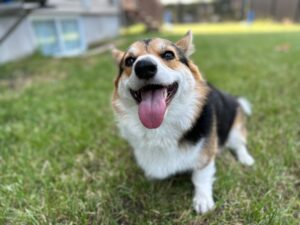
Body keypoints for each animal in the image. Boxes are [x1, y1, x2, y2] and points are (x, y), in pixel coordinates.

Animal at [111, 31, 254, 213]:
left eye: (168, 55)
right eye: (129, 61)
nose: (143, 67)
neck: (161, 127)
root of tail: (234, 99)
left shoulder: (205, 156)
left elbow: (201, 177)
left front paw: (203, 201)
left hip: (235, 129)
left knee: (239, 145)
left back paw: (246, 159)